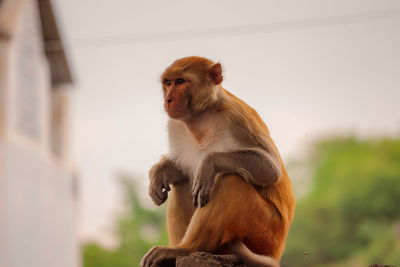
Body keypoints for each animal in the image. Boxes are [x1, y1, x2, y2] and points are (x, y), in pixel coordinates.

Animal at [141, 56, 294, 267]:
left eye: (180, 81)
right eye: (168, 83)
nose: (168, 100)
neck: (203, 115)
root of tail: (277, 253)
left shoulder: (236, 117)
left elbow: (271, 169)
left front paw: (209, 163)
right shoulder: (175, 124)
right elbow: (181, 170)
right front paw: (158, 173)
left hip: (266, 232)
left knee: (230, 181)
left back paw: (185, 248)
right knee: (183, 183)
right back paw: (180, 253)